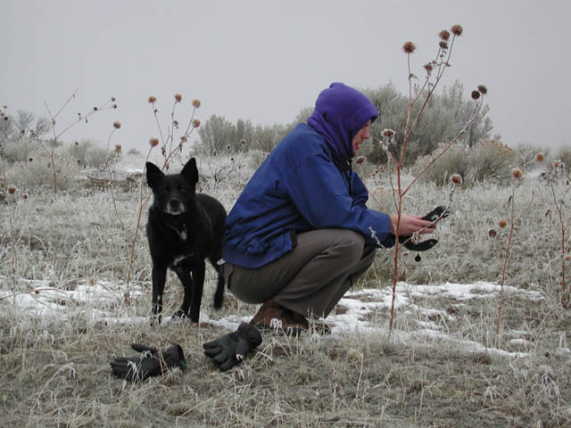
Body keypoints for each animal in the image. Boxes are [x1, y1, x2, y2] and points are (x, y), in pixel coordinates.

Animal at [145, 159, 226, 322]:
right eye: (164, 190)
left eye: (182, 189)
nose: (174, 202)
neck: (177, 226)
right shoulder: (159, 266)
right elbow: (157, 298)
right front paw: (154, 323)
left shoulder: (198, 265)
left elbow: (197, 298)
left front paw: (193, 322)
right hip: (179, 269)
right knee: (189, 287)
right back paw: (181, 312)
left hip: (216, 255)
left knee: (222, 273)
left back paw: (217, 300)